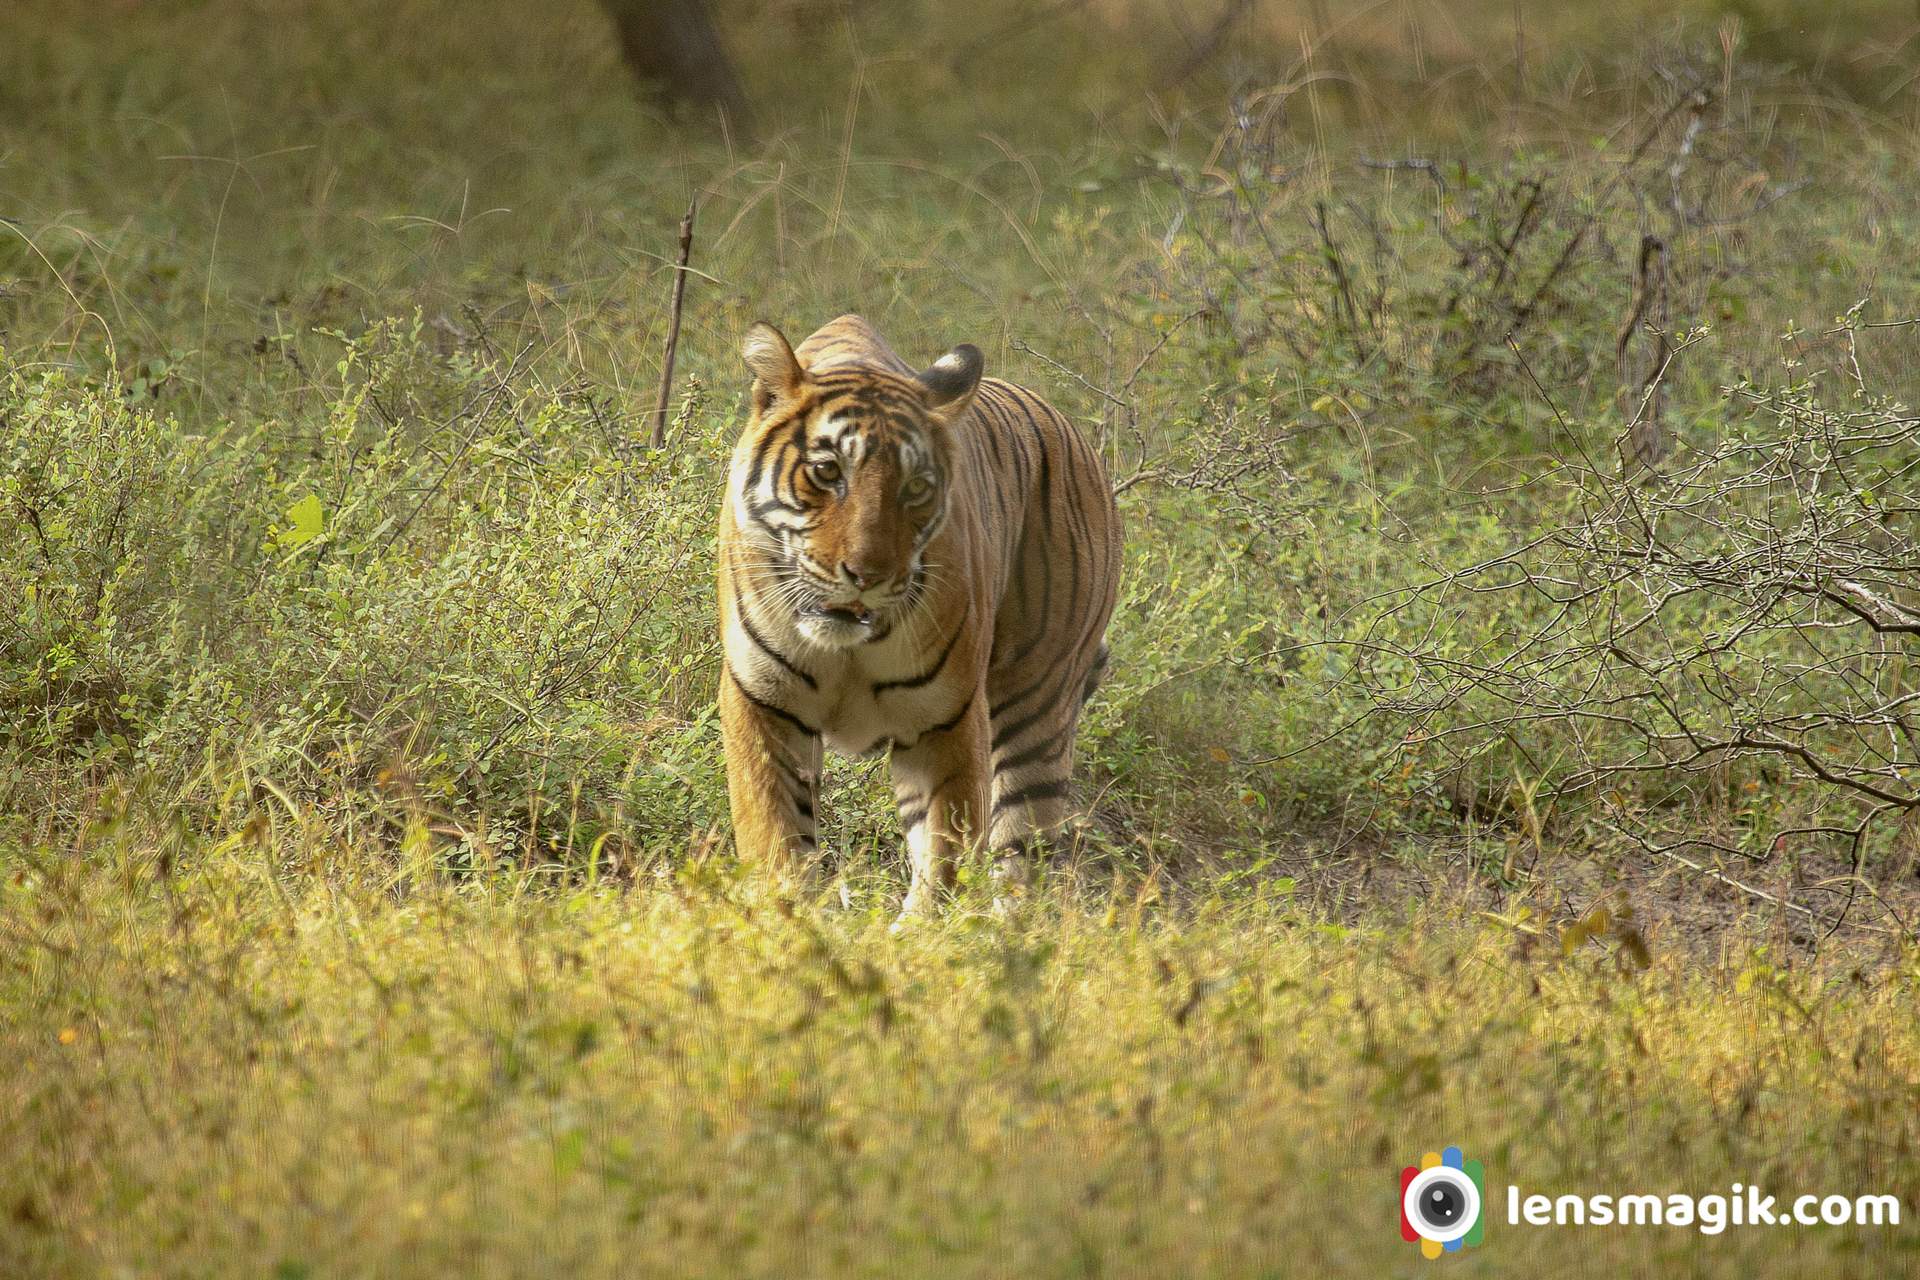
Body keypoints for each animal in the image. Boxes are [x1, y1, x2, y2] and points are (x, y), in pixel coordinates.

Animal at [714, 314, 1121, 917]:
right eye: (827, 470)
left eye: (917, 488)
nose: (866, 574)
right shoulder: (763, 701)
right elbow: (775, 835)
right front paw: (786, 915)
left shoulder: (944, 719)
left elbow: (947, 849)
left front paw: (927, 933)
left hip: (1037, 704)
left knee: (1023, 849)